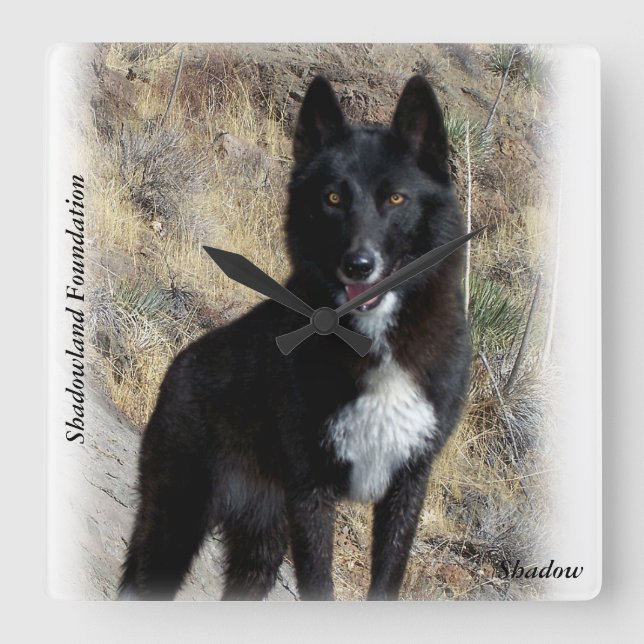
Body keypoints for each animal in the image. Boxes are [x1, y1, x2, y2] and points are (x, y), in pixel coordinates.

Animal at [119, 74, 470, 601]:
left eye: (396, 199)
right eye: (333, 198)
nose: (358, 265)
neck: (374, 342)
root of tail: (180, 362)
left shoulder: (407, 486)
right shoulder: (312, 492)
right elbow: (320, 586)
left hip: (260, 553)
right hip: (175, 526)